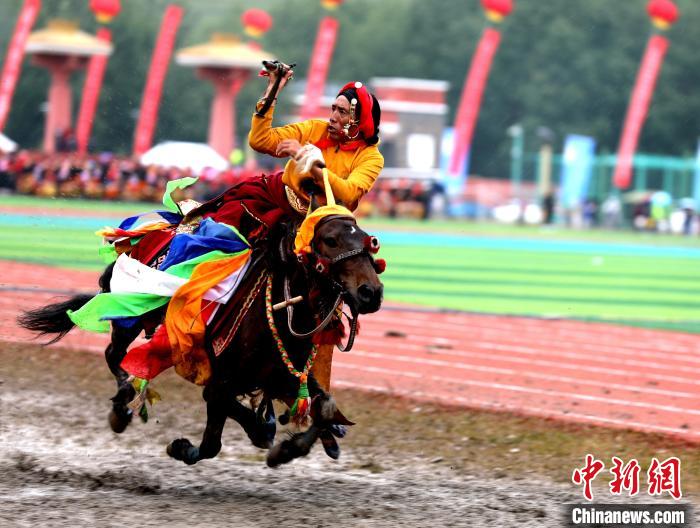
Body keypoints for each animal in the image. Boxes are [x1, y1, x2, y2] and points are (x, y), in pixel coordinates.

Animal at [18, 196, 385, 467]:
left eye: (369, 241)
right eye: (330, 240)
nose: (371, 292)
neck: (279, 314)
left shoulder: (285, 376)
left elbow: (323, 406)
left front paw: (286, 449)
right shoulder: (222, 382)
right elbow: (217, 437)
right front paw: (184, 446)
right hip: (128, 316)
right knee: (114, 355)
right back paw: (121, 406)